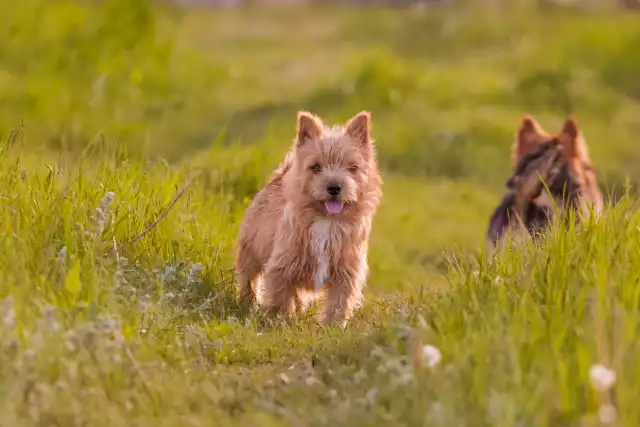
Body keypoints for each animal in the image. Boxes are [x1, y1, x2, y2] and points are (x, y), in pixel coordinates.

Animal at [236, 110, 382, 328]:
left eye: (352, 167)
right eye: (316, 167)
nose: (334, 187)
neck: (327, 221)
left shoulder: (346, 273)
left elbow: (339, 302)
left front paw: (333, 327)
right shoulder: (281, 266)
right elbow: (280, 297)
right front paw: (281, 320)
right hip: (250, 251)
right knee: (249, 278)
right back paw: (247, 303)